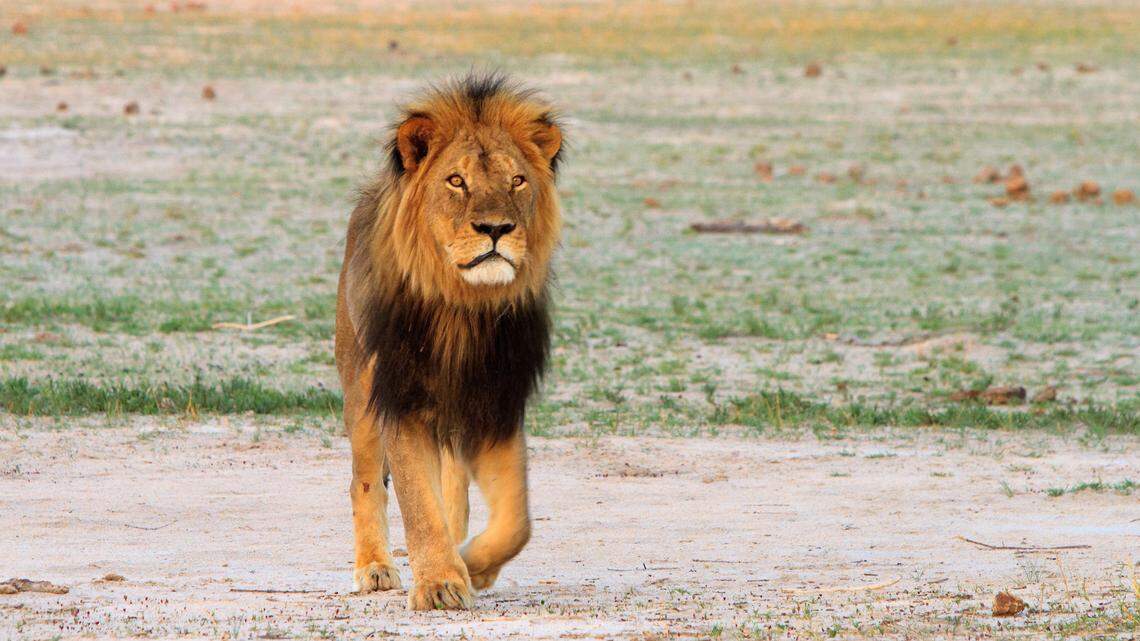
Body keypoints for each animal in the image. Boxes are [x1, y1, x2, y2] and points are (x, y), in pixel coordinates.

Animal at [334, 74, 563, 611]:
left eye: (517, 181)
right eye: (456, 181)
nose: (496, 229)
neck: (464, 307)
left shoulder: (498, 405)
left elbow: (516, 522)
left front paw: (470, 565)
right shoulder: (402, 401)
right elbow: (419, 503)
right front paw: (439, 583)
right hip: (361, 393)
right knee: (364, 481)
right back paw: (375, 568)